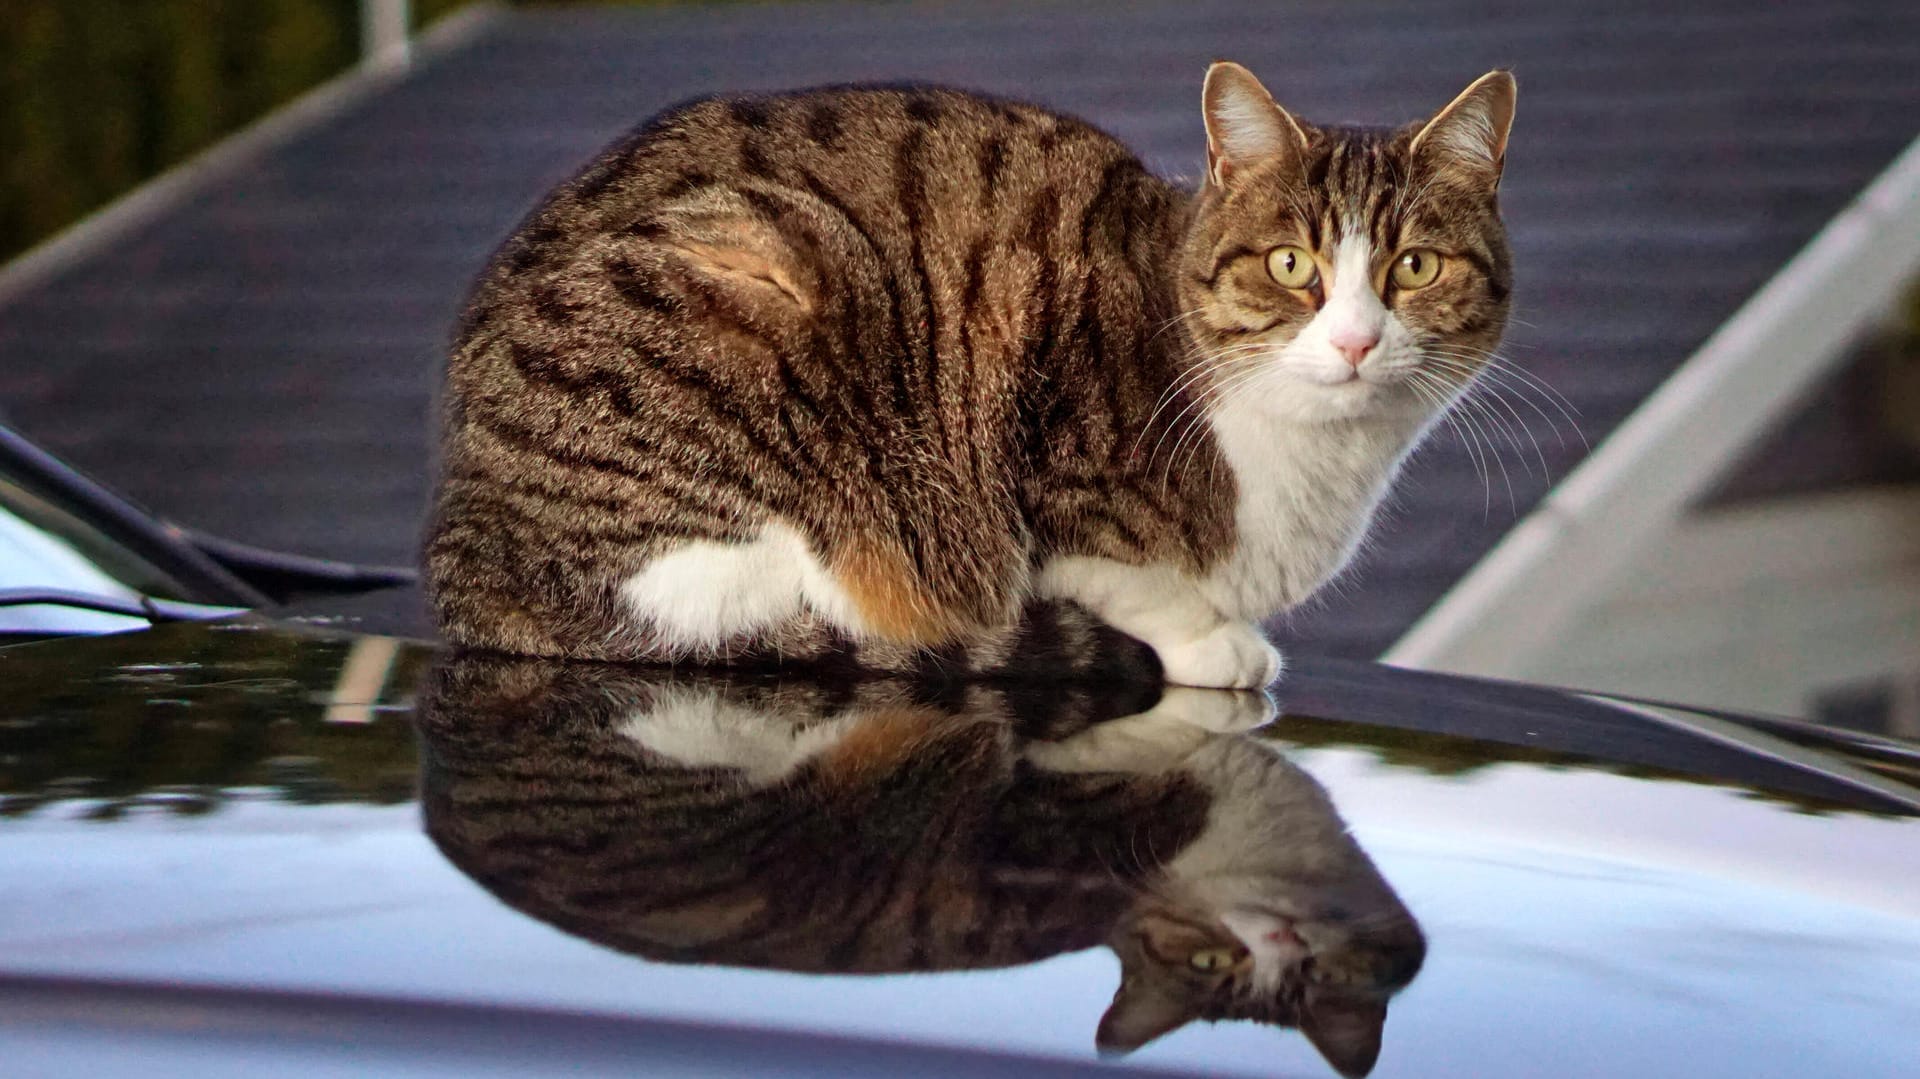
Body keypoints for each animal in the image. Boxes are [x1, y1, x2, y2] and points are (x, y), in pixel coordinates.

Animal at [428, 62, 1520, 683]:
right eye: (1293, 265)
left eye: (1414, 268)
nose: (1357, 342)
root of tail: (463, 548)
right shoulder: (1057, 467)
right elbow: (1134, 578)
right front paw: (1217, 643)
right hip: (771, 282)